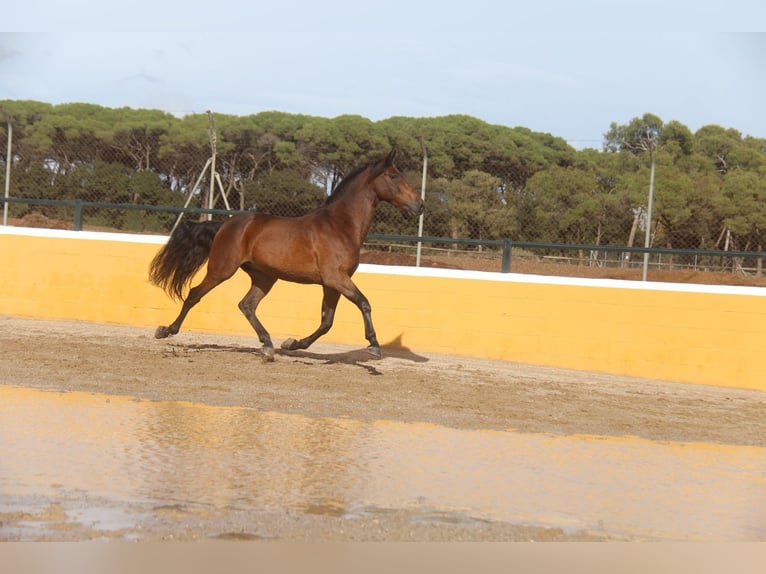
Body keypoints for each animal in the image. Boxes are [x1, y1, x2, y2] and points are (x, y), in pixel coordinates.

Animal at [149, 149, 424, 361]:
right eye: (394, 176)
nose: (420, 205)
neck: (341, 225)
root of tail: (226, 224)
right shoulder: (336, 278)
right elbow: (364, 303)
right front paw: (374, 346)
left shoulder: (332, 283)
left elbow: (327, 322)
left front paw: (292, 344)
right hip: (221, 269)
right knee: (195, 294)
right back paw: (166, 330)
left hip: (264, 277)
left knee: (246, 305)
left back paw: (268, 345)